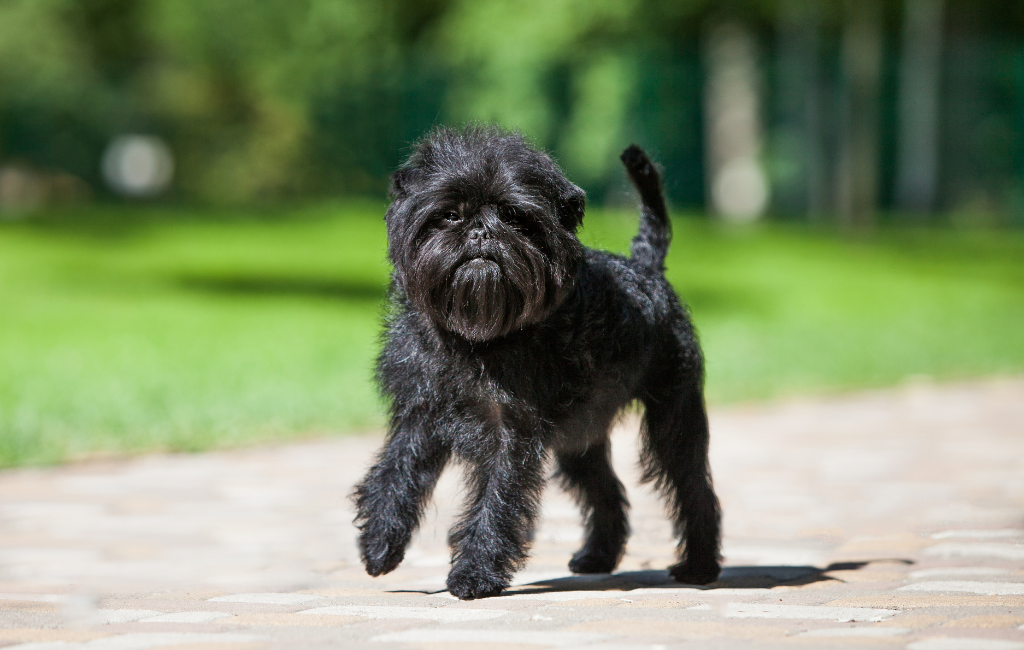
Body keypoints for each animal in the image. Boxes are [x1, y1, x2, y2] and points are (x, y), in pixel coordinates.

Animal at [352, 125, 720, 601]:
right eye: (449, 216)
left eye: (514, 218)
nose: (481, 232)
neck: (476, 339)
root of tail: (646, 267)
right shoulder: (420, 414)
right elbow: (395, 474)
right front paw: (380, 542)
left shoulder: (510, 432)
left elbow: (497, 499)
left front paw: (475, 574)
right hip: (580, 435)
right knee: (605, 489)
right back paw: (598, 557)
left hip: (672, 416)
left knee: (692, 486)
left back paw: (699, 566)